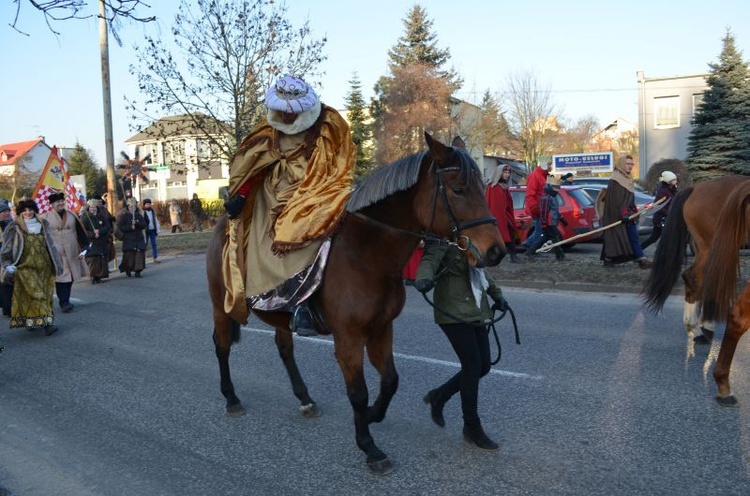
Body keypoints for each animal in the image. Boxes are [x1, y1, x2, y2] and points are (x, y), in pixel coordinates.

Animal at [206, 134, 506, 474]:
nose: (496, 251)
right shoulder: (348, 337)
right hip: (221, 306)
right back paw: (231, 398)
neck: (369, 252)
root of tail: (222, 224)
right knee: (222, 345)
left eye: (482, 187)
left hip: (280, 314)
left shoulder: (381, 329)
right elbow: (358, 392)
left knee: (284, 349)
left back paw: (305, 399)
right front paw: (369, 447)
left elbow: (390, 381)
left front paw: (374, 415)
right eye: (458, 190)